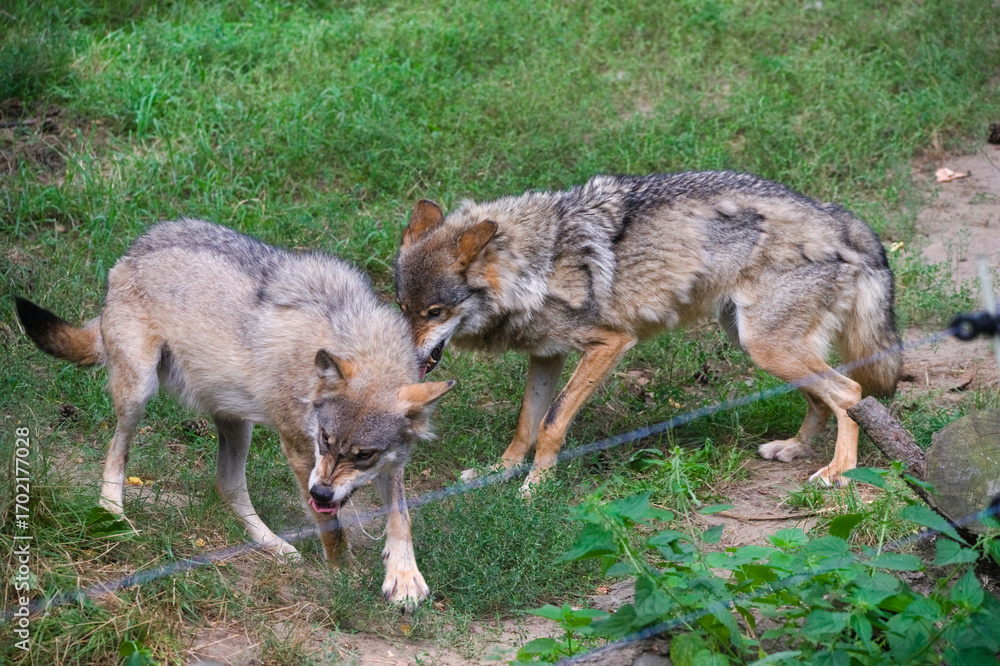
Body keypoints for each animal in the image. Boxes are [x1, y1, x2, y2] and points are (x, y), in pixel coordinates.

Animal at [16, 219, 453, 605]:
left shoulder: (390, 463)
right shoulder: (299, 449)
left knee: (225, 486)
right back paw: (113, 515)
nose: (320, 493)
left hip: (237, 423)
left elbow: (401, 518)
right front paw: (342, 575)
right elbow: (332, 529)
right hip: (139, 392)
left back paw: (274, 546)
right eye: (324, 440)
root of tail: (131, 252)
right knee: (116, 452)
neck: (354, 339)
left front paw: (404, 578)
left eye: (364, 455)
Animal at [393, 171, 901, 494]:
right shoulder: (546, 355)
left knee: (851, 392)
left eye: (435, 312)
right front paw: (497, 473)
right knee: (822, 397)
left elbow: (552, 424)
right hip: (754, 343)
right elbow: (525, 424)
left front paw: (534, 489)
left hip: (767, 349)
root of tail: (841, 217)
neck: (537, 265)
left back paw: (839, 472)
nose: (407, 363)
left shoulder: (610, 344)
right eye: (402, 308)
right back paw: (794, 449)